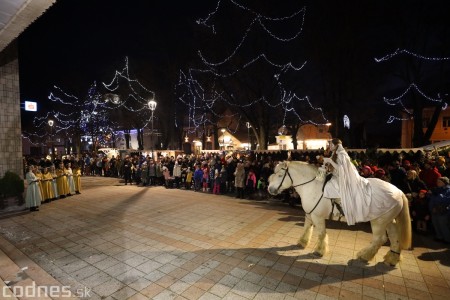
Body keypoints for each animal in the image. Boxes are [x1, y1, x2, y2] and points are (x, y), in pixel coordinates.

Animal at [268, 162, 412, 264]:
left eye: (280, 175)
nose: (270, 189)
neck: (313, 186)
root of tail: (399, 191)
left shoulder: (318, 217)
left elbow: (321, 233)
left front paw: (319, 251)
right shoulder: (309, 215)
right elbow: (306, 229)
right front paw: (302, 243)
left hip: (379, 221)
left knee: (379, 239)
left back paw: (364, 256)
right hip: (388, 220)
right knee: (395, 237)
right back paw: (392, 259)